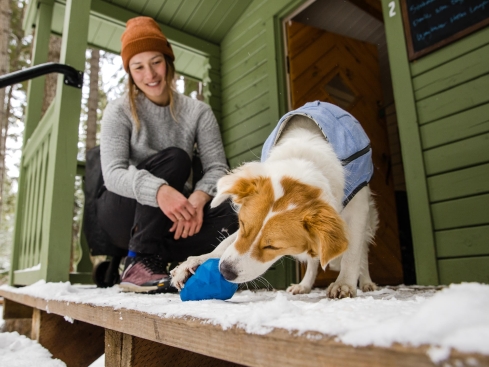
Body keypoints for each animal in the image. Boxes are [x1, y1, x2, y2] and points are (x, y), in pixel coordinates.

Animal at [171, 100, 378, 300]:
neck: (303, 159)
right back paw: (304, 285)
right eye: (243, 225)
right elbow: (226, 243)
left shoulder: (358, 207)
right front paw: (197, 261)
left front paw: (344, 283)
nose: (225, 271)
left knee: (363, 251)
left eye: (273, 246)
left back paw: (366, 282)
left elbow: (353, 253)